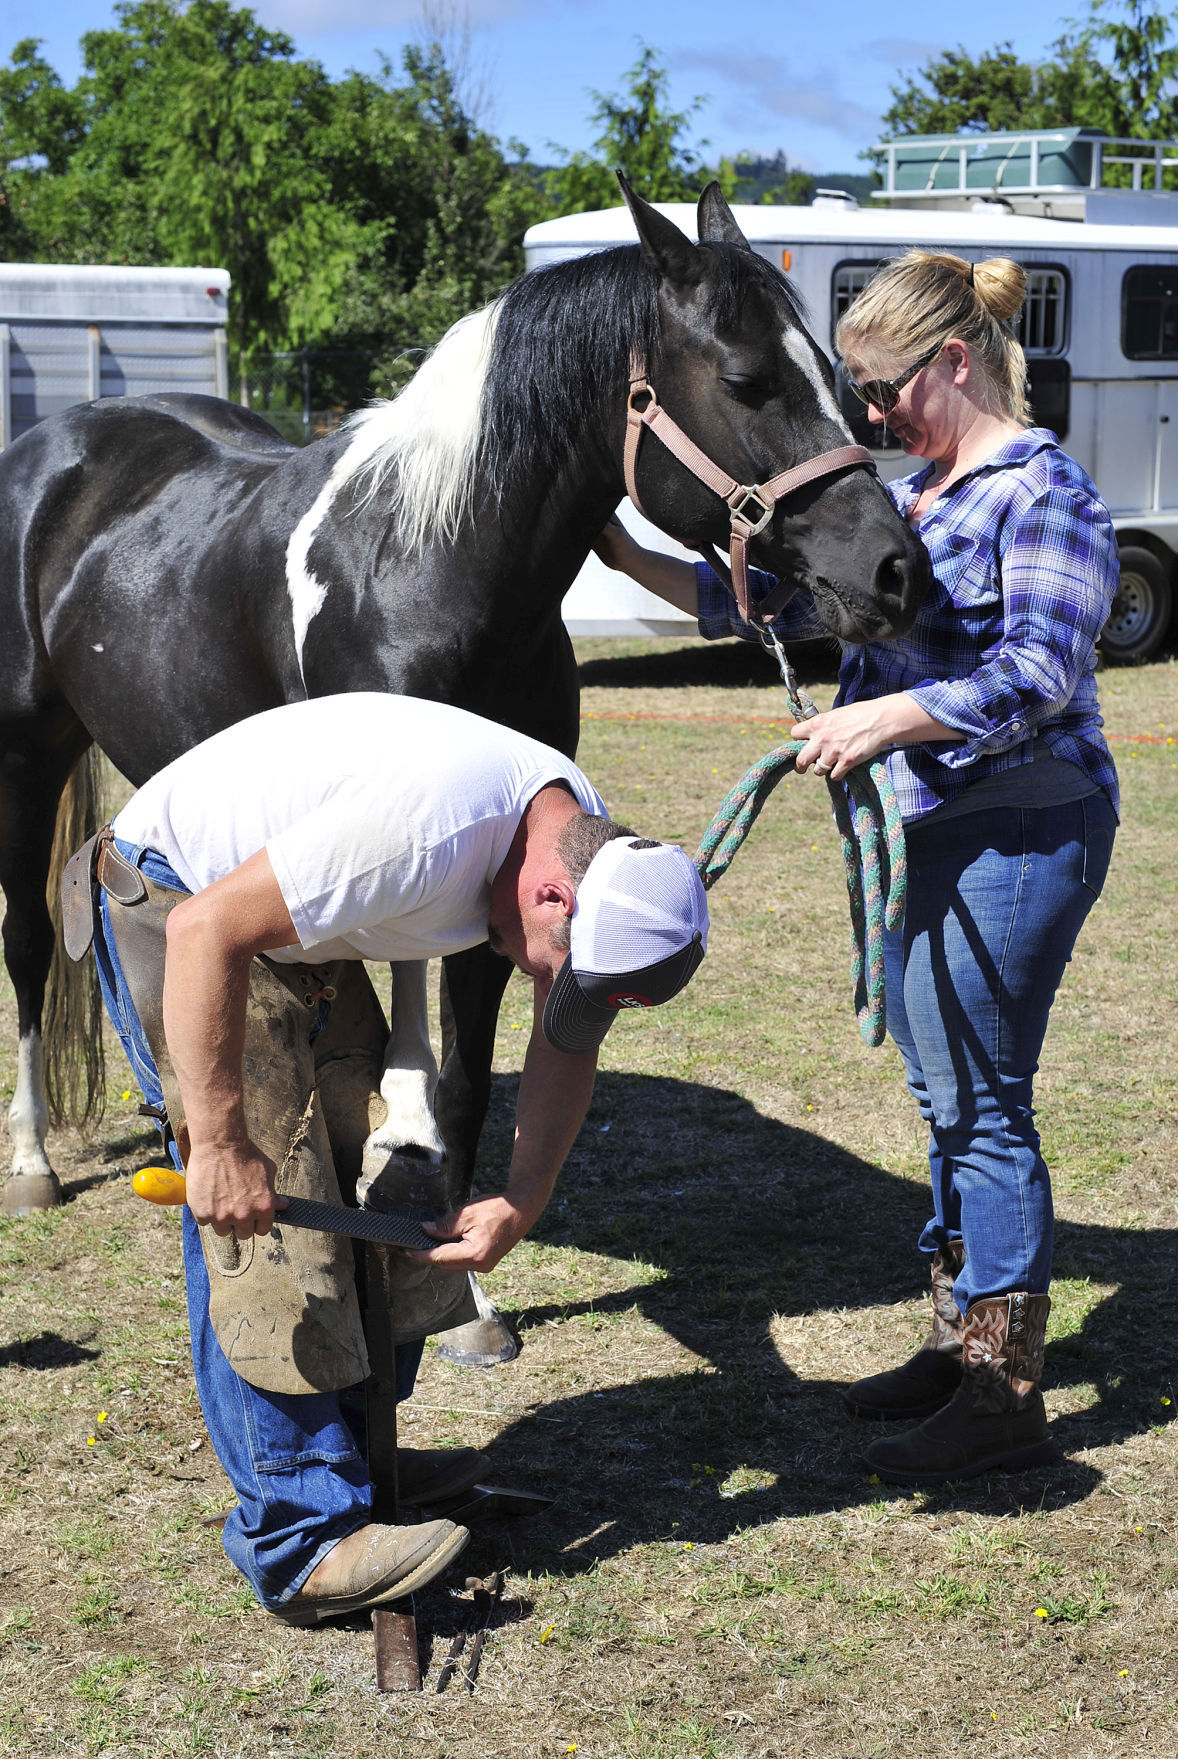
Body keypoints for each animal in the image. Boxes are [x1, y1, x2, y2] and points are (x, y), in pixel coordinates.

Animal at [0, 182, 935, 1280]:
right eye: (746, 381)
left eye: (839, 379)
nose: (895, 570)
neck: (429, 563)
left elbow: (469, 1070)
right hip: (24, 757)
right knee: (27, 944)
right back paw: (32, 1159)